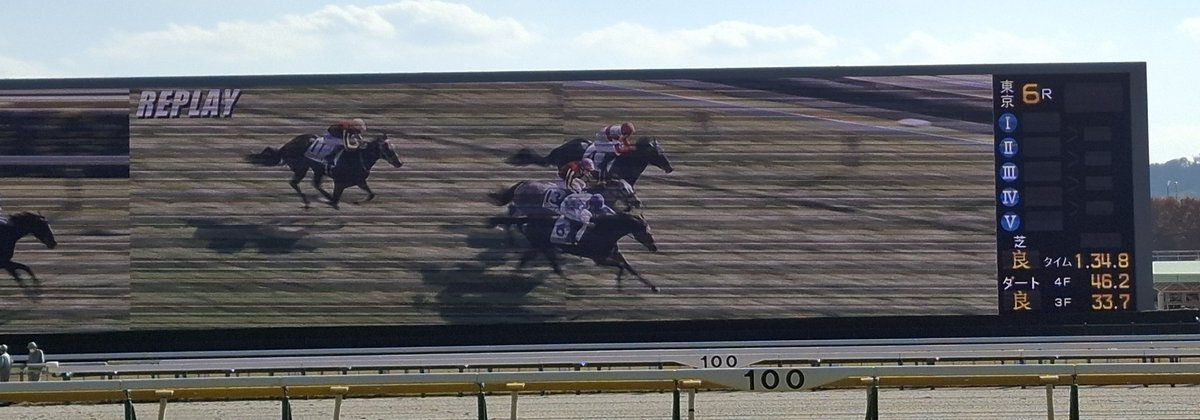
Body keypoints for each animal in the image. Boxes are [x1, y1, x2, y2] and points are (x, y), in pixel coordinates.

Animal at [245, 134, 404, 209]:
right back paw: (309, 201)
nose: (399, 163)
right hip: (302, 168)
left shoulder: (359, 181)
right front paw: (329, 201)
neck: (357, 157)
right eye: (387, 148)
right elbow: (335, 198)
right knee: (295, 183)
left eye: (394, 147)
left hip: (316, 169)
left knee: (314, 183)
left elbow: (371, 194)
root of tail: (287, 145)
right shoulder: (339, 182)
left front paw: (357, 202)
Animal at [488, 212, 659, 292]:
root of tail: (529, 218)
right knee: (554, 267)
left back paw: (511, 280)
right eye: (646, 231)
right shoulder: (599, 258)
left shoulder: (613, 253)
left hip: (538, 246)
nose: (654, 247)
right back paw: (571, 285)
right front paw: (619, 286)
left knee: (525, 260)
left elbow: (630, 268)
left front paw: (653, 287)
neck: (605, 230)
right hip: (544, 246)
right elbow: (622, 267)